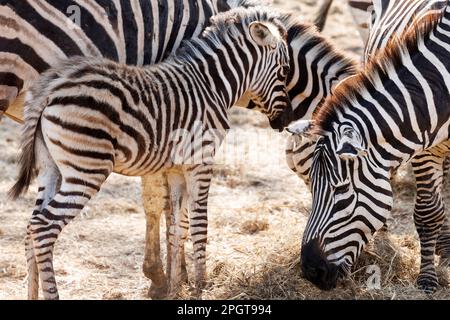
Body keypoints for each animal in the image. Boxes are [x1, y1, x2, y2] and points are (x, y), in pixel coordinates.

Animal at [290, 1, 450, 294]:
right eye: (311, 185)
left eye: (341, 191)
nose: (311, 272)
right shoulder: (426, 148)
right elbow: (429, 211)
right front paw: (429, 275)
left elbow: (427, 212)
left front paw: (427, 279)